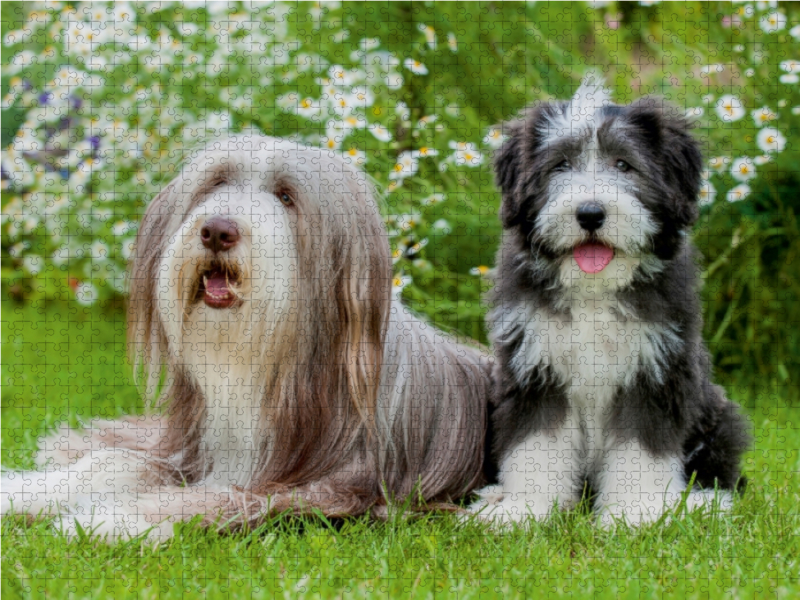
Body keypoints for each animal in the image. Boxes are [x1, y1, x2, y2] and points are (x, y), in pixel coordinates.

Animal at [468, 76, 752, 524]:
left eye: (623, 165)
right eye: (560, 165)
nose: (590, 213)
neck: (594, 291)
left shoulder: (653, 371)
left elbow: (641, 449)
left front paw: (634, 512)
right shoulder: (534, 366)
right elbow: (535, 444)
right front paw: (525, 509)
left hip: (719, 417)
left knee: (722, 477)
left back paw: (698, 503)